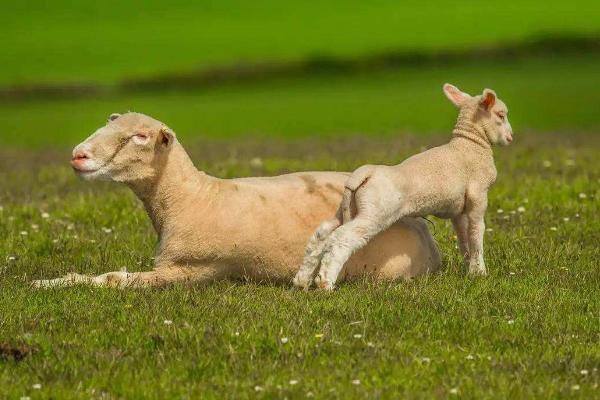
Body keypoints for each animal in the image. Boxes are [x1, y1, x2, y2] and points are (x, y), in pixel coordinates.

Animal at [32, 111, 438, 288]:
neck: (191, 197)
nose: (79, 155)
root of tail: (427, 237)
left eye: (141, 137)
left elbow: (114, 280)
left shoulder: (188, 271)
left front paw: (52, 284)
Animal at [292, 84, 512, 290]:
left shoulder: (458, 210)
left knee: (323, 234)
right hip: (375, 213)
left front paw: (470, 269)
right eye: (501, 115)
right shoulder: (478, 196)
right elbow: (476, 234)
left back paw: (302, 281)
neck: (471, 144)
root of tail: (364, 173)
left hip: (350, 208)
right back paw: (325, 283)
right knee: (342, 238)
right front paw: (480, 273)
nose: (510, 137)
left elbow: (464, 238)